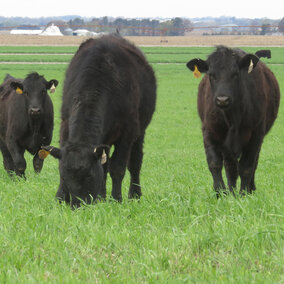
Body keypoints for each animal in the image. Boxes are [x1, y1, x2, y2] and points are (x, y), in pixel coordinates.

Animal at [42, 34, 156, 207]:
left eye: (89, 176)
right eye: (64, 176)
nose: (77, 204)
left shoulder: (128, 132)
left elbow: (118, 167)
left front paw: (116, 199)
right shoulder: (65, 124)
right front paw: (60, 198)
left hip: (140, 131)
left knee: (135, 163)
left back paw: (134, 195)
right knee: (105, 164)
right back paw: (102, 197)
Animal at [186, 46, 280, 197]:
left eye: (235, 74)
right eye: (211, 75)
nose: (222, 99)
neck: (233, 118)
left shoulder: (255, 135)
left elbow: (247, 167)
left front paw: (244, 193)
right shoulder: (210, 132)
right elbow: (215, 164)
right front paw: (220, 193)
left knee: (252, 164)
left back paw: (249, 189)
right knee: (230, 167)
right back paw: (231, 191)